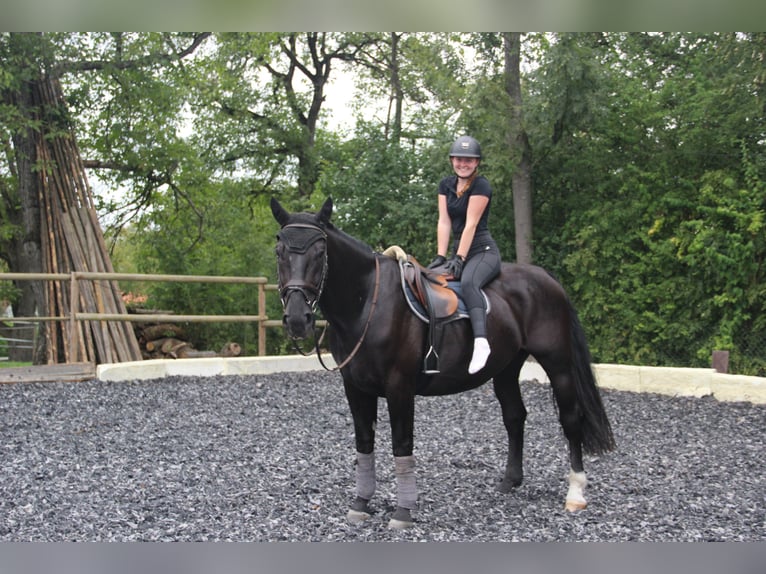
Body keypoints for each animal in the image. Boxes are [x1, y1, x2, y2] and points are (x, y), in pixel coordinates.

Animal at [272, 198, 616, 532]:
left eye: (320, 252)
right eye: (279, 251)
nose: (298, 319)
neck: (369, 301)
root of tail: (545, 279)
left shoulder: (399, 387)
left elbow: (402, 444)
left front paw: (403, 512)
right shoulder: (355, 387)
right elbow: (364, 442)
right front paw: (361, 504)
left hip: (558, 364)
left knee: (570, 419)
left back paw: (575, 493)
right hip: (506, 368)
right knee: (515, 416)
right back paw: (509, 482)